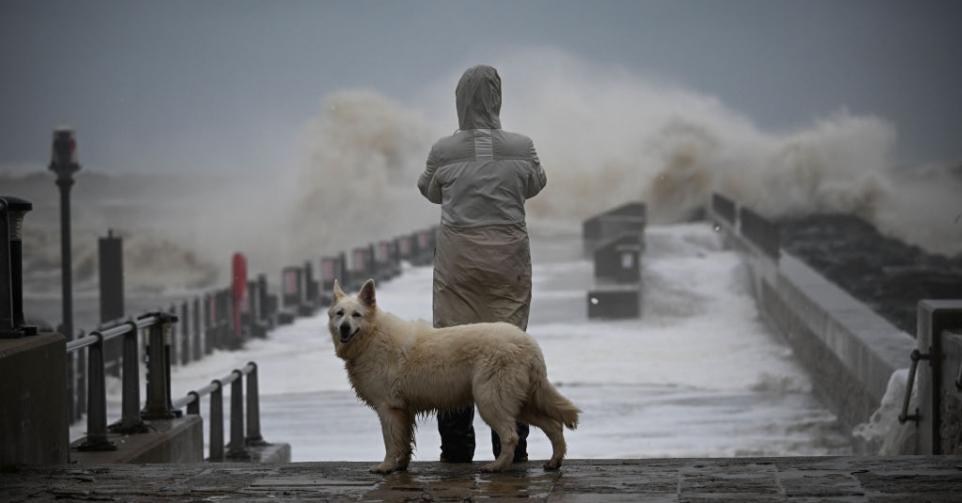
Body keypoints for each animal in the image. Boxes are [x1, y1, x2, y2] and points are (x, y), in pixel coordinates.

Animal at [330, 280, 576, 472]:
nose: (344, 328)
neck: (372, 336)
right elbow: (405, 443)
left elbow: (391, 443)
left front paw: (386, 467)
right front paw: (400, 466)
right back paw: (554, 462)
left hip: (490, 401)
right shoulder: (403, 410)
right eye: (339, 314)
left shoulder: (388, 408)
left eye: (356, 315)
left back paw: (497, 466)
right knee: (554, 426)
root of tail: (529, 344)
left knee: (511, 436)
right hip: (521, 403)